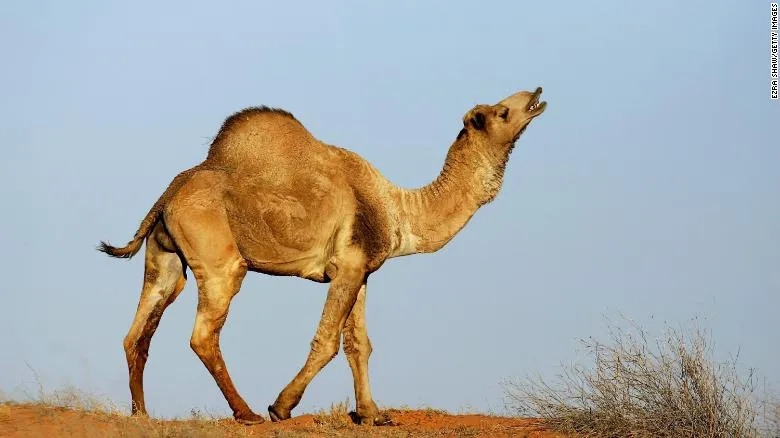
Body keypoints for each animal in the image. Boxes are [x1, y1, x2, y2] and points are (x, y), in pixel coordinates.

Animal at [98, 87, 547, 425]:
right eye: (501, 111)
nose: (537, 94)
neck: (398, 209)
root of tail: (170, 192)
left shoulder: (360, 270)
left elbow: (359, 344)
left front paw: (372, 414)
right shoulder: (348, 265)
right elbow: (327, 341)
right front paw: (281, 406)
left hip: (165, 258)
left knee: (138, 331)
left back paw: (141, 414)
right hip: (221, 262)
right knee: (203, 334)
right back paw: (247, 413)